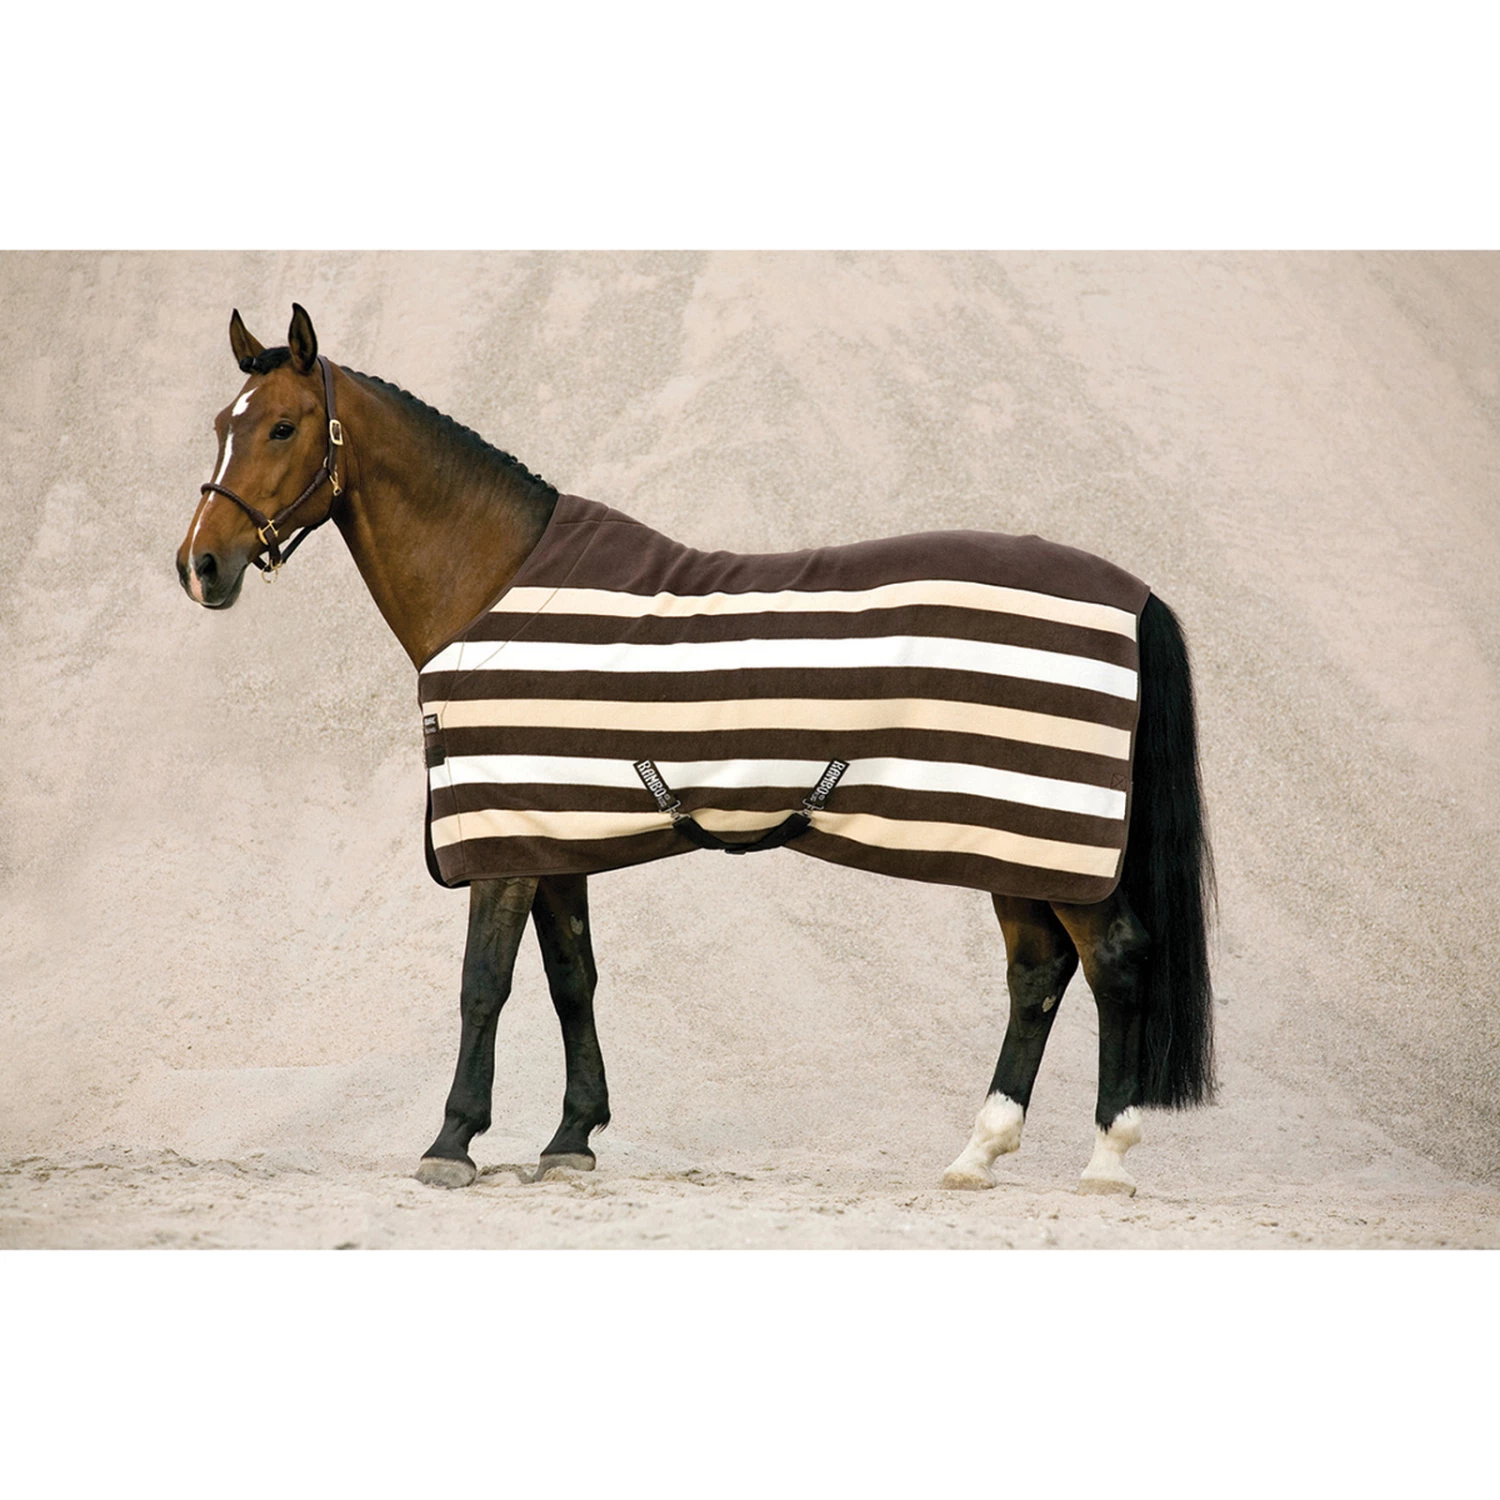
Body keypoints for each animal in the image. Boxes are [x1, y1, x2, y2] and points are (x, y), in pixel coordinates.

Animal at [175, 304, 1215, 1197]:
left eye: (282, 429)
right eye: (222, 425)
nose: (200, 567)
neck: (494, 584)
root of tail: (1131, 591)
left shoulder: (504, 838)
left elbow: (484, 985)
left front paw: (452, 1142)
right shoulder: (552, 833)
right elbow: (571, 981)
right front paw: (571, 1139)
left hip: (1049, 833)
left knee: (1114, 959)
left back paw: (1106, 1163)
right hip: (1008, 837)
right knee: (1037, 974)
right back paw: (978, 1153)